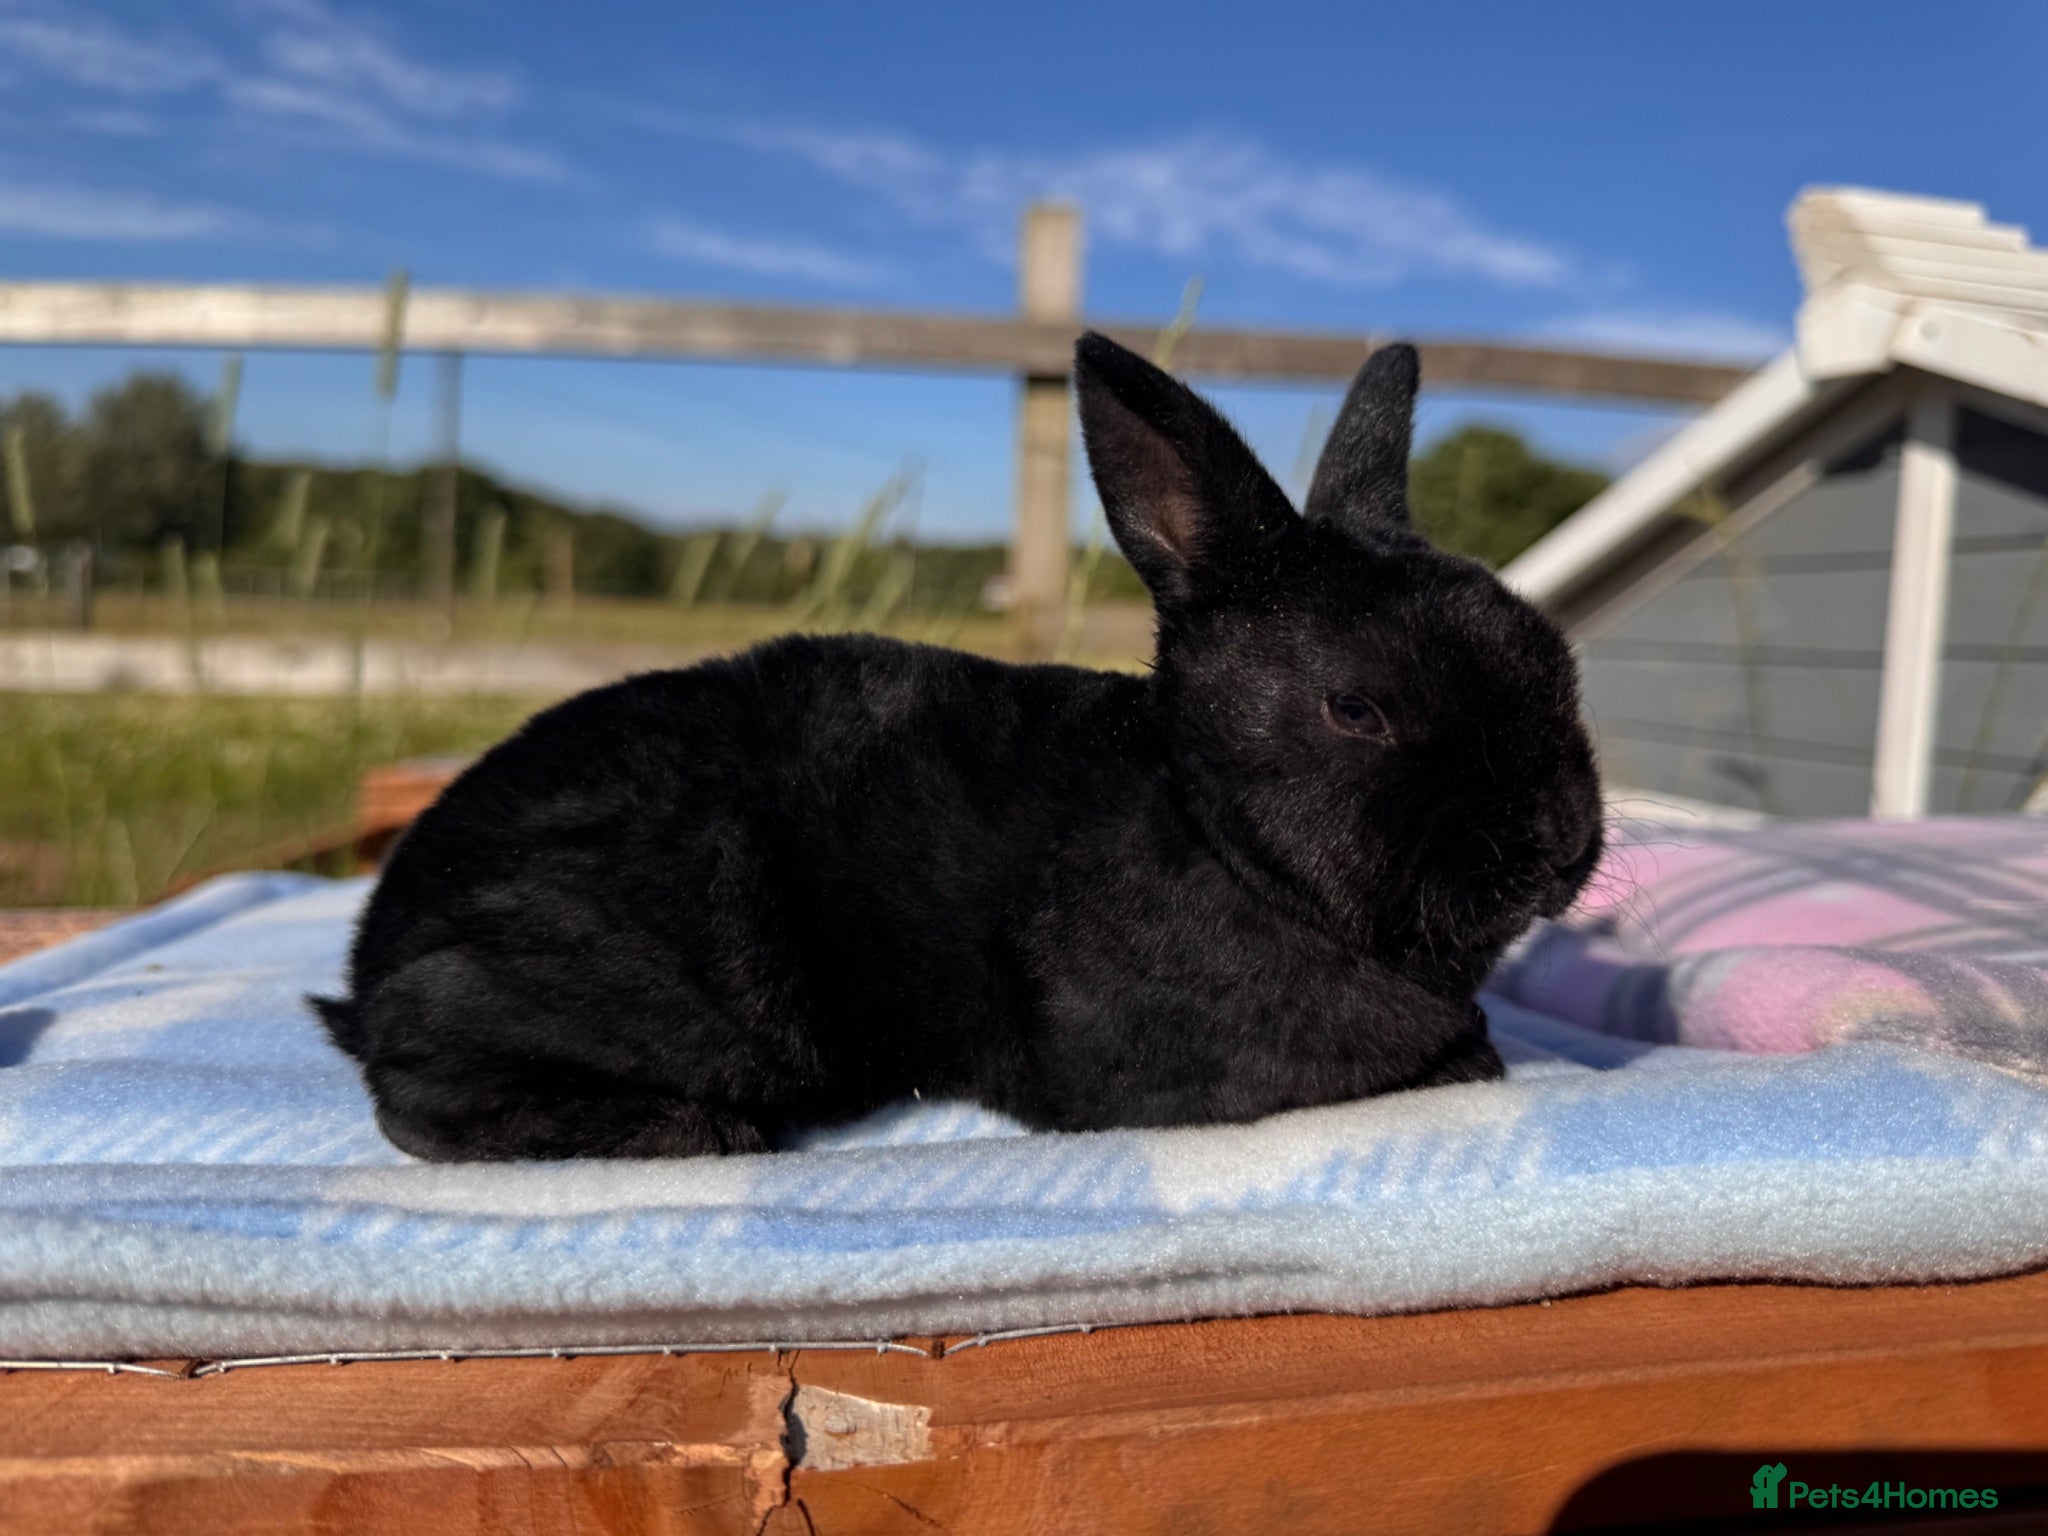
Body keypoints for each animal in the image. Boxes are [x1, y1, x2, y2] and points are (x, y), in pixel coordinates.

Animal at [314, 332, 1603, 1161]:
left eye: (1558, 667)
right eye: (1355, 711)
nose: (1554, 844)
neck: (1211, 831)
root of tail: (369, 962)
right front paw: (1473, 1056)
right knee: (418, 1096)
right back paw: (697, 1132)